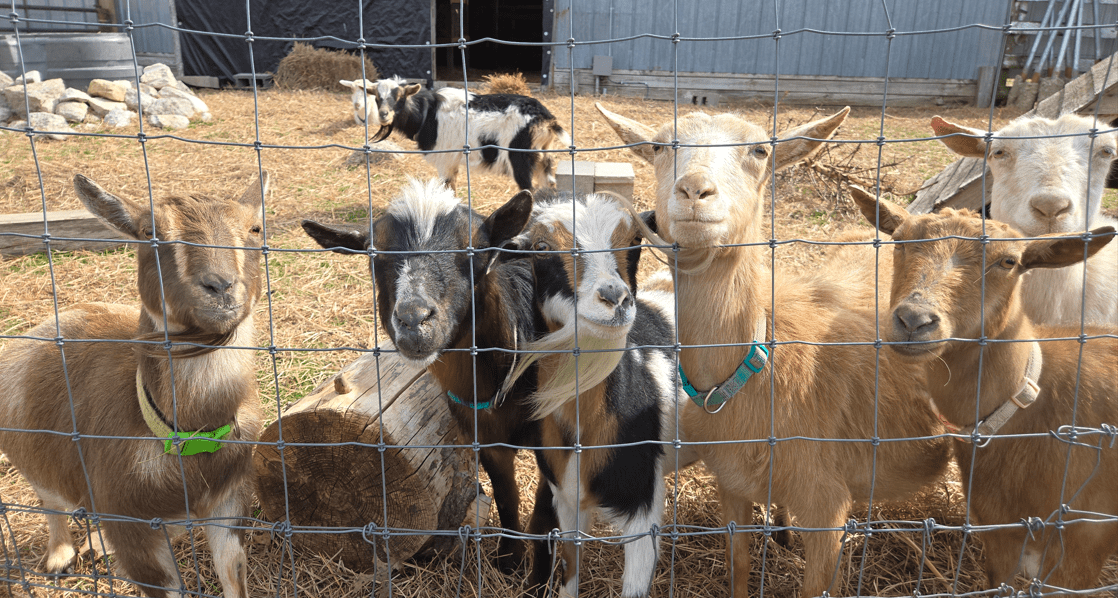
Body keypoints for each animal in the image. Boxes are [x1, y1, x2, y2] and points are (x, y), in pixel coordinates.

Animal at [0, 173, 268, 598]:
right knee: (50, 499)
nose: (220, 286)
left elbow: (233, 573)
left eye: (255, 228)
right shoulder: (133, 531)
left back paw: (95, 544)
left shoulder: (229, 501)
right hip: (30, 456)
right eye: (148, 233)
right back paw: (60, 555)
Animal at [301, 178, 557, 579]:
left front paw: (539, 581)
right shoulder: (485, 436)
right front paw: (509, 561)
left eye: (476, 249)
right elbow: (506, 495)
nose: (413, 319)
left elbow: (545, 512)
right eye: (374, 255)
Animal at [353, 77, 570, 191]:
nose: (383, 115)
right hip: (543, 154)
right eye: (377, 97)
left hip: (519, 157)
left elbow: (447, 188)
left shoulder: (445, 159)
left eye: (400, 97)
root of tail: (547, 119)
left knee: (529, 189)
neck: (428, 113)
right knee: (548, 184)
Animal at [497, 189, 684, 598]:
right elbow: (570, 566)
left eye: (634, 240)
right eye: (540, 247)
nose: (615, 298)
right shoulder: (565, 496)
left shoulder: (644, 506)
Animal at [597, 103, 952, 597]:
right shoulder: (731, 483)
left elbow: (816, 588)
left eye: (761, 151)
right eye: (659, 146)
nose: (694, 190)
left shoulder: (826, 508)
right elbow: (739, 564)